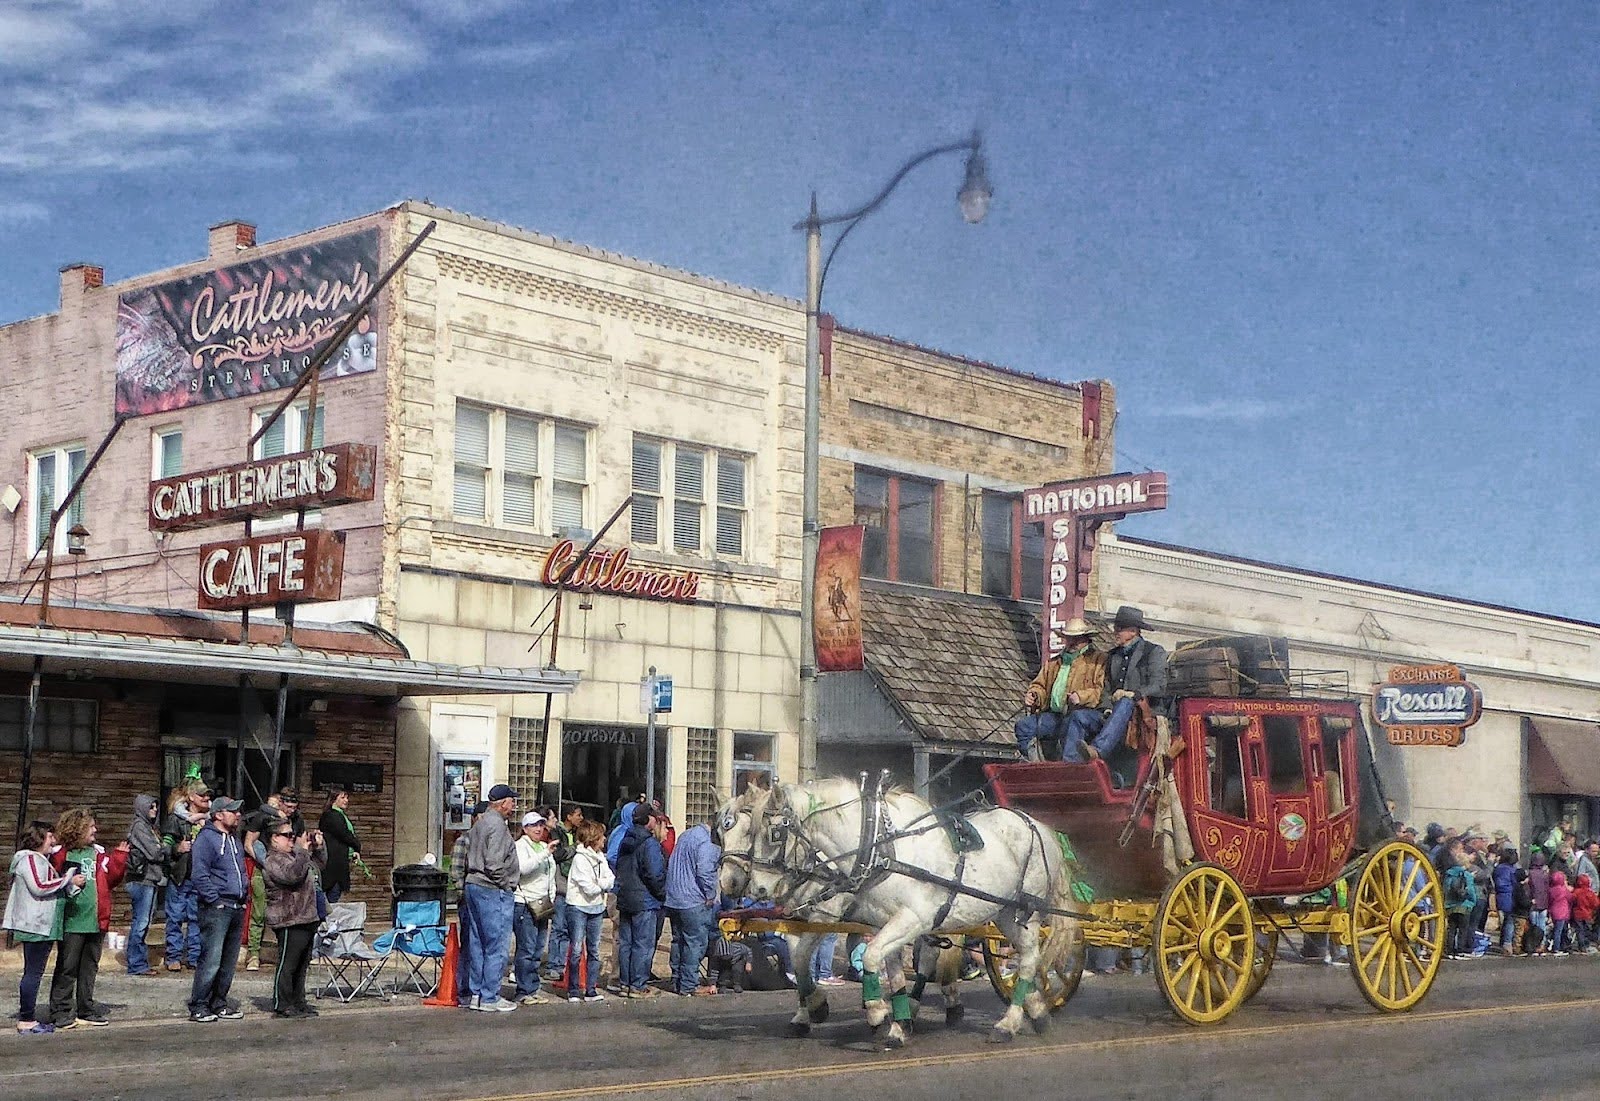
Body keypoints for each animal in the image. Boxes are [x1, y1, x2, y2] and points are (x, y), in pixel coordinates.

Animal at [720, 777, 1081, 1043]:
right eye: (723, 830)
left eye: (773, 832)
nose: (744, 885)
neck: (878, 849)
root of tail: (1036, 824)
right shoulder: (869, 921)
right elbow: (880, 970)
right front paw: (894, 1020)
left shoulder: (892, 917)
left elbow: (864, 957)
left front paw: (876, 1013)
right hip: (998, 914)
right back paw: (1031, 1009)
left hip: (1024, 912)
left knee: (1030, 958)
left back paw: (1009, 1022)